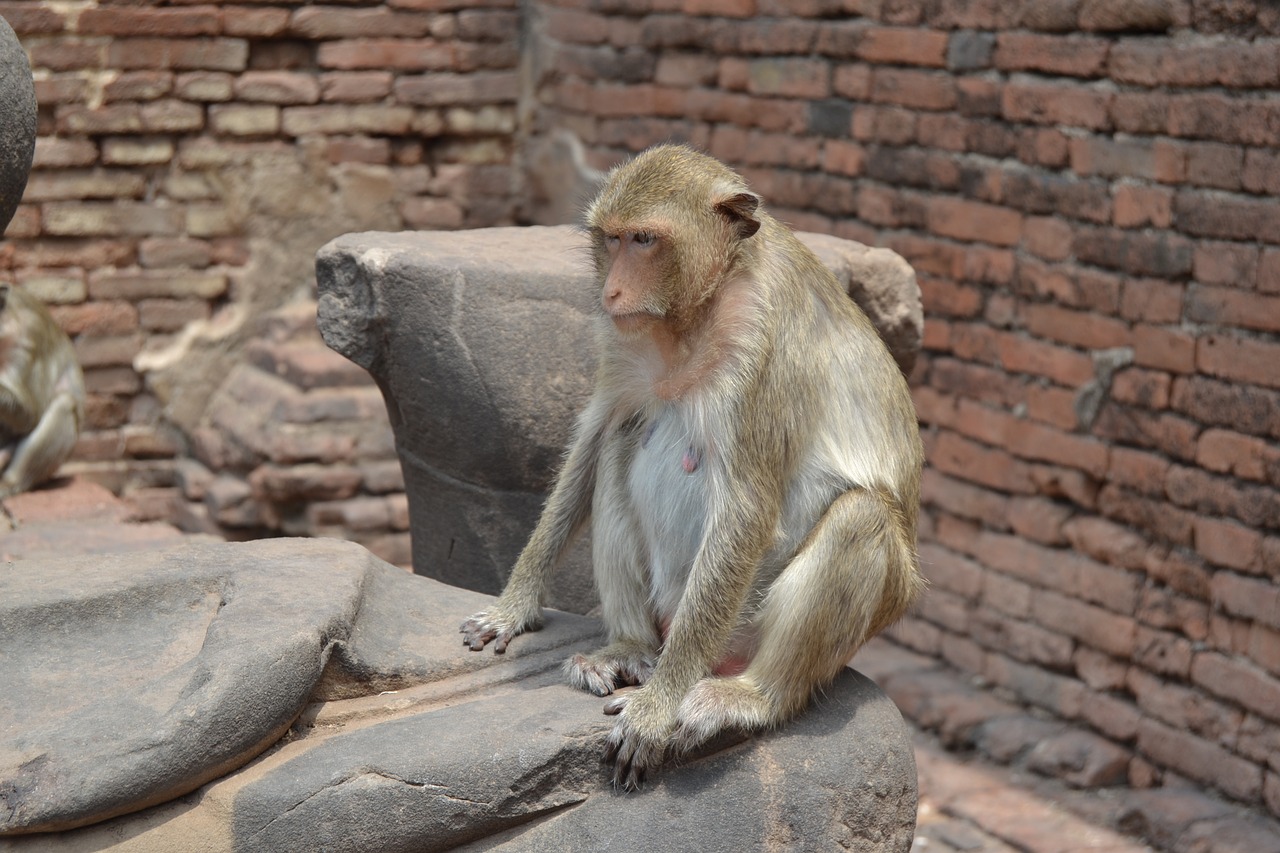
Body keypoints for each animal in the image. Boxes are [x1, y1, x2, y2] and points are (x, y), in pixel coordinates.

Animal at [460, 142, 921, 788]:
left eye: (645, 240)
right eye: (611, 239)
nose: (611, 293)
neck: (697, 308)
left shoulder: (763, 344)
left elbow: (748, 510)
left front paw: (657, 709)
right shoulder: (622, 341)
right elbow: (592, 440)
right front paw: (513, 609)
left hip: (748, 625)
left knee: (863, 516)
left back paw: (750, 695)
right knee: (619, 443)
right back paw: (627, 649)